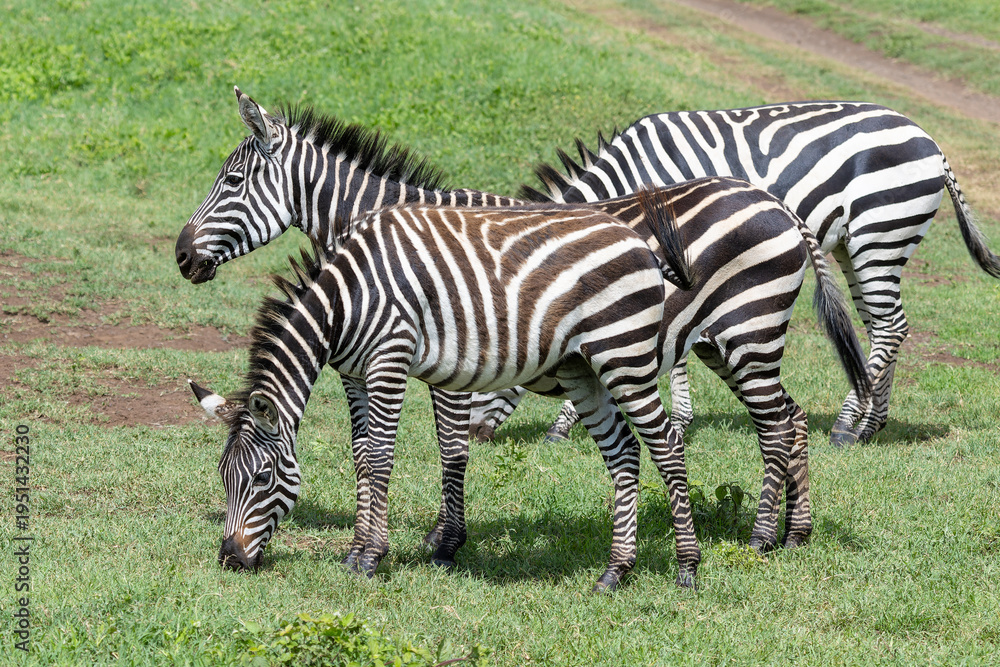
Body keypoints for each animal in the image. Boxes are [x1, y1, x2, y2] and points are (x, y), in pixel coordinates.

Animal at [177, 89, 870, 568]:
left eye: (231, 182)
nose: (182, 255)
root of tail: (776, 204)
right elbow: (365, 450)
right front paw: (396, 538)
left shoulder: (443, 358)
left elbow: (447, 446)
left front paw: (443, 541)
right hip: (722, 344)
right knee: (791, 418)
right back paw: (794, 533)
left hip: (746, 334)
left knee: (775, 425)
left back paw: (763, 537)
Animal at [477, 101, 1000, 447]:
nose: (477, 436)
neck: (634, 182)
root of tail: (932, 142)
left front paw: (573, 423)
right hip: (858, 244)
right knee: (880, 327)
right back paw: (873, 423)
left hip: (880, 232)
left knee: (891, 327)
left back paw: (847, 425)